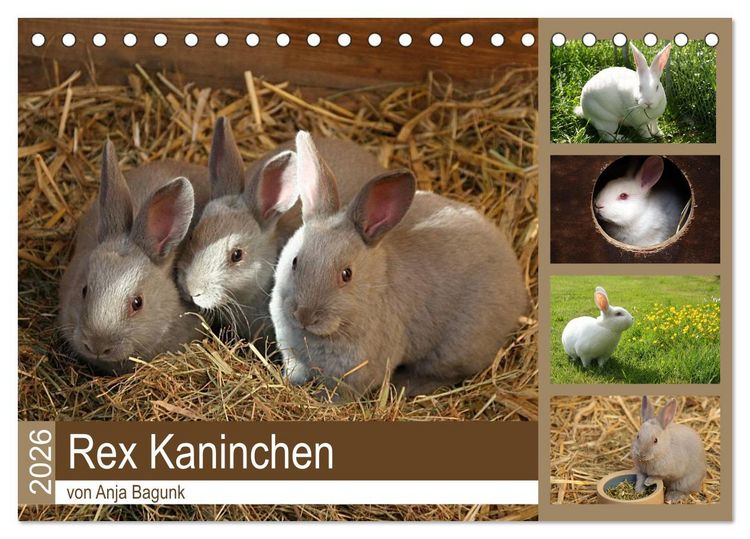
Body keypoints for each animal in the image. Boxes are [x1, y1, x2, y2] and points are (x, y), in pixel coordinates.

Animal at [269, 131, 528, 399]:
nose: (304, 315)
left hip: (455, 350)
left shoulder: (352, 377)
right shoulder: (294, 359)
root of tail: (517, 288)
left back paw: (405, 385)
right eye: (295, 261)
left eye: (346, 274)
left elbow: (337, 395)